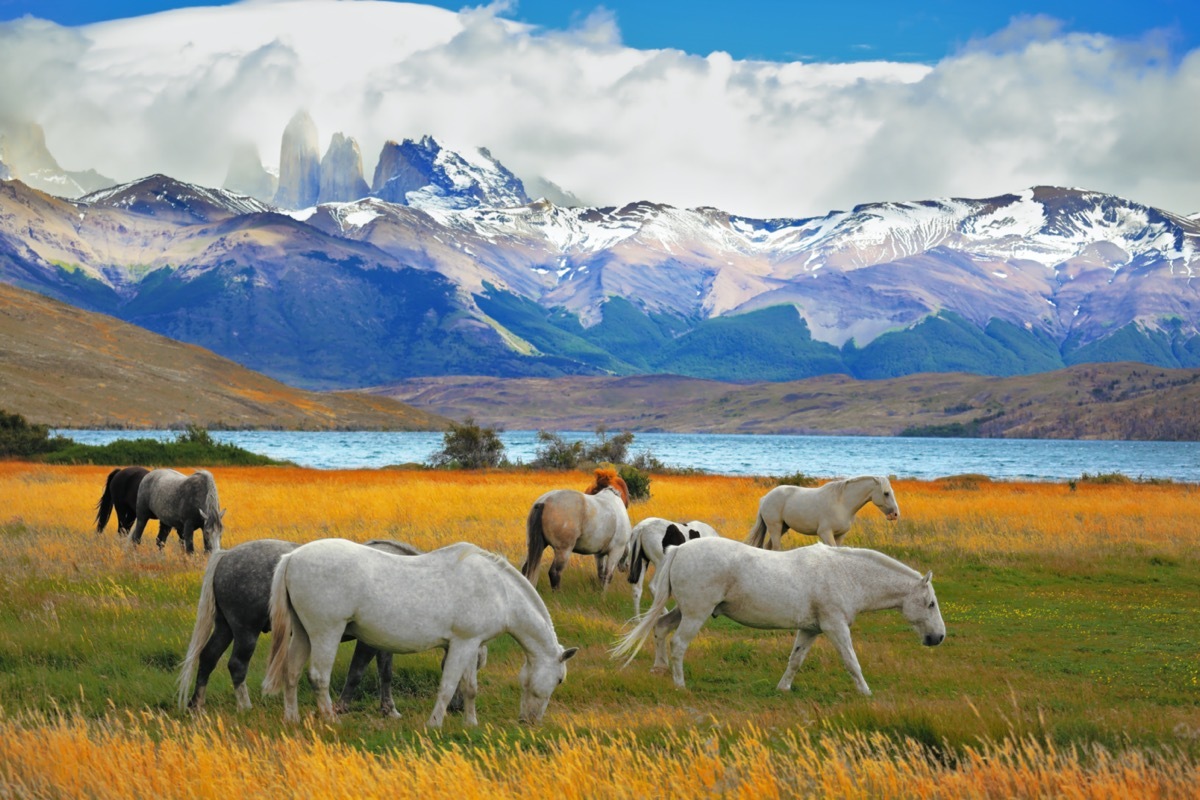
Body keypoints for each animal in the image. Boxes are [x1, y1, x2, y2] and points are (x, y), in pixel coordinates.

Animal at [177, 538, 470, 716]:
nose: (457, 707)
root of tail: (226, 556)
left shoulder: (387, 641)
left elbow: (385, 674)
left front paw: (389, 709)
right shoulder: (368, 642)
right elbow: (357, 673)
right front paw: (340, 707)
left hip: (226, 627)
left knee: (208, 658)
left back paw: (196, 705)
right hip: (245, 630)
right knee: (236, 665)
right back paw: (246, 706)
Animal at [262, 539, 577, 728]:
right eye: (560, 679)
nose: (530, 721)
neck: (499, 590)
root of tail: (292, 557)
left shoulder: (470, 644)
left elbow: (469, 688)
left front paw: (470, 724)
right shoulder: (462, 644)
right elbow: (448, 686)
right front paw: (434, 724)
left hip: (303, 633)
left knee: (291, 672)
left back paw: (292, 718)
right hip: (326, 633)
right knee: (318, 677)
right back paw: (330, 719)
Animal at [612, 537, 944, 694]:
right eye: (930, 604)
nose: (938, 637)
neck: (845, 574)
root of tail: (679, 549)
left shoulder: (811, 630)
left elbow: (795, 660)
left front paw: (783, 688)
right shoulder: (835, 626)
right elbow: (851, 661)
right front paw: (865, 691)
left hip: (684, 610)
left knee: (659, 628)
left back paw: (659, 669)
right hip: (696, 613)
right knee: (678, 644)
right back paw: (680, 684)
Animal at [745, 475, 899, 550]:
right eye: (886, 493)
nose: (895, 514)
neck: (842, 503)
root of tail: (765, 498)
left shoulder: (840, 535)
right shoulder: (825, 533)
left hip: (783, 527)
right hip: (775, 527)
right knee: (776, 548)